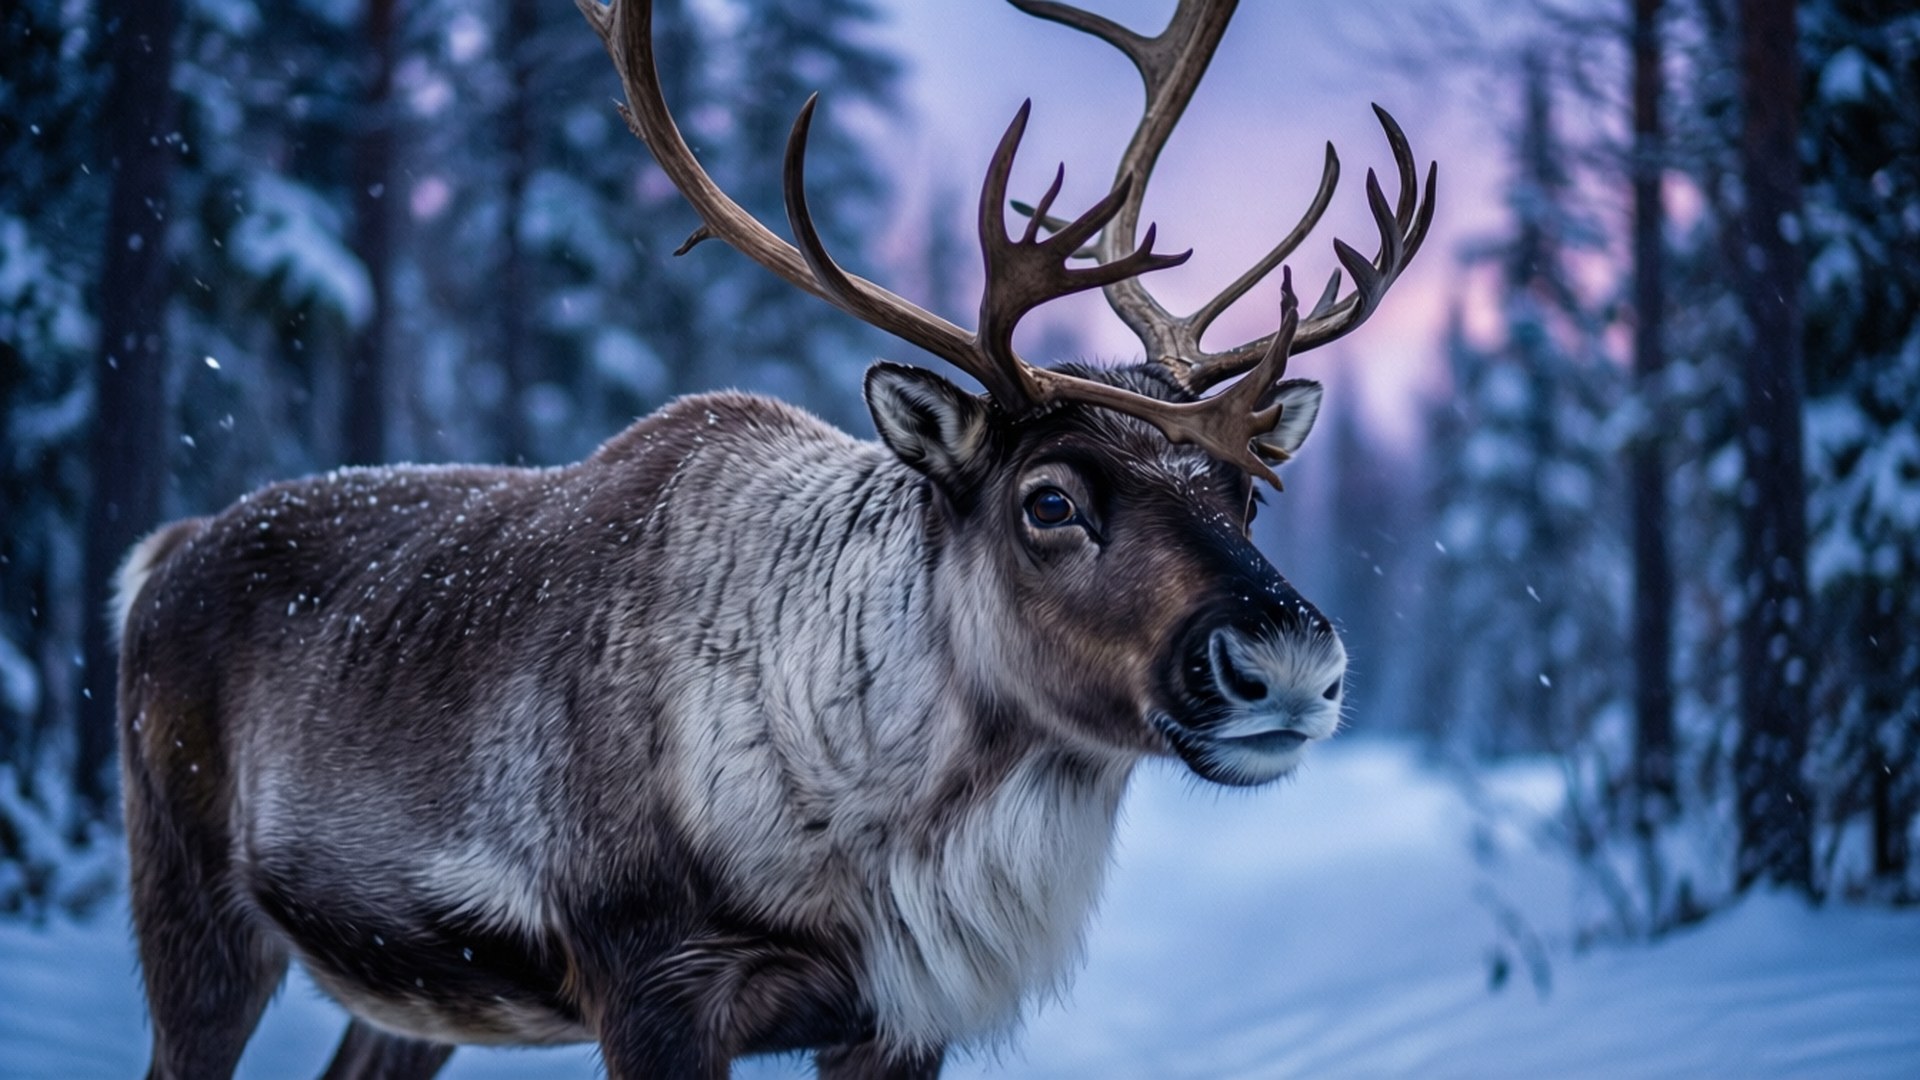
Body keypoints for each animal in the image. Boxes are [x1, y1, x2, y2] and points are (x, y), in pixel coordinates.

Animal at [114, 0, 1434, 1076]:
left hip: (417, 998)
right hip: (191, 905)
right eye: (1049, 499)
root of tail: (164, 549)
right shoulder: (652, 985)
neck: (897, 837)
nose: (1289, 658)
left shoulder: (901, 1024)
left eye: (1249, 494)